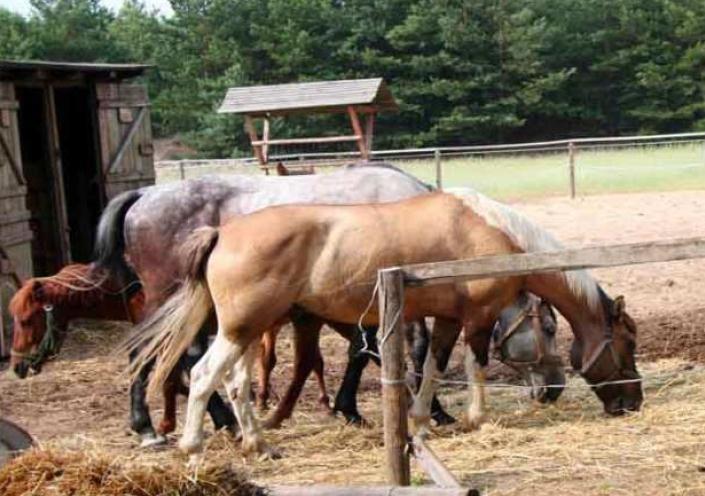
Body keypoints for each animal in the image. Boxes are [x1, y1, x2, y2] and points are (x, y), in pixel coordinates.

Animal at [128, 189, 644, 458]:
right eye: (628, 341)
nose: (633, 402)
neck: (493, 236)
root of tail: (221, 232)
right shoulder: (476, 319)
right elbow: (474, 366)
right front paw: (474, 418)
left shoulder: (446, 319)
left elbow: (434, 367)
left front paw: (421, 421)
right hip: (241, 328)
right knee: (201, 375)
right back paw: (192, 445)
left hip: (251, 330)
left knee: (234, 383)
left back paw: (258, 442)